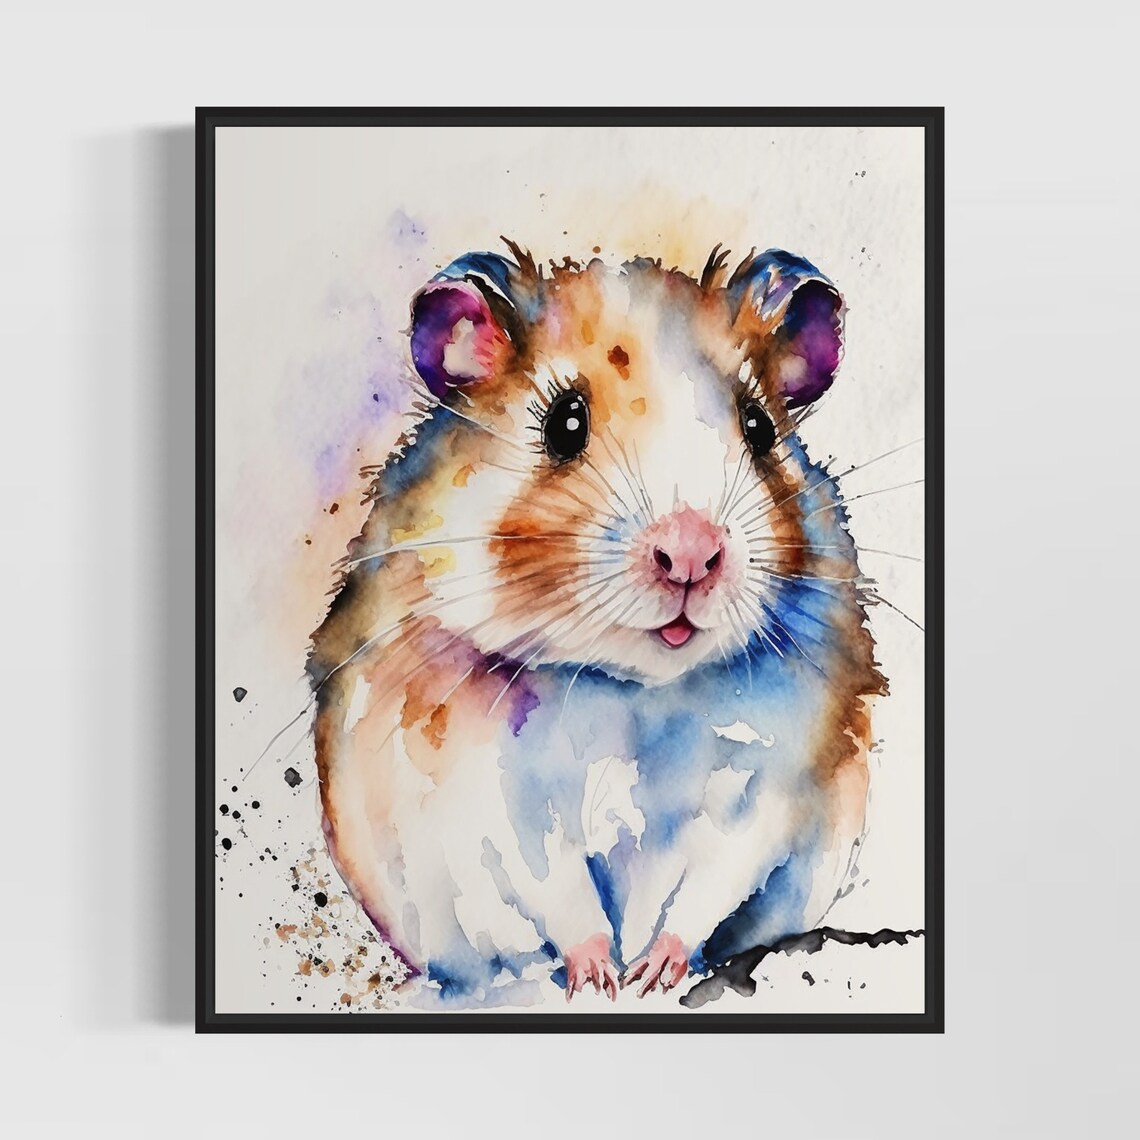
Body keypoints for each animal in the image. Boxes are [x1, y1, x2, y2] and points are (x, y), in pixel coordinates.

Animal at [308, 240, 885, 1004]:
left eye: (760, 428)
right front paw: (599, 977)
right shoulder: (488, 799)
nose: (692, 554)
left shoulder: (769, 793)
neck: (631, 690)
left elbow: (706, 887)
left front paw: (652, 973)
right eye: (565, 422)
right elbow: (557, 890)